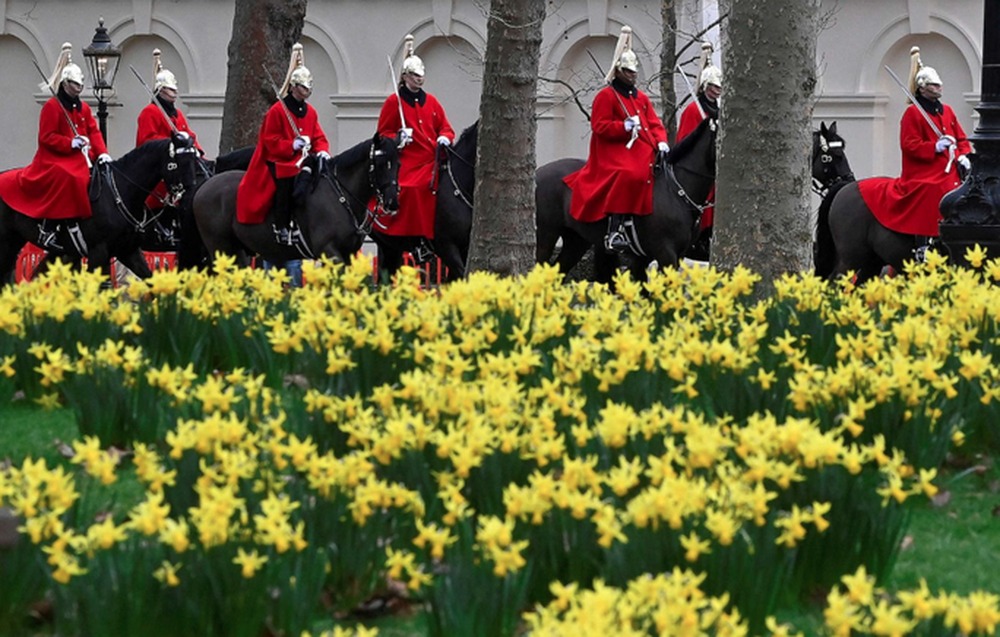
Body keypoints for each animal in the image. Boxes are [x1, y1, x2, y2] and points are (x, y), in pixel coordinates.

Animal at [0, 132, 199, 284]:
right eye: (176, 164)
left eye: (194, 160)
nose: (191, 193)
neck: (119, 193)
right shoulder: (98, 253)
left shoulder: (129, 251)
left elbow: (151, 281)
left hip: (16, 242)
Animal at [193, 132, 400, 266]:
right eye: (381, 163)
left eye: (398, 163)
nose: (392, 203)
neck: (341, 194)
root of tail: (205, 185)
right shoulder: (329, 251)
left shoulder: (348, 253)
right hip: (221, 248)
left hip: (236, 251)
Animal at [536, 116, 716, 278]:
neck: (676, 191)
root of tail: (537, 172)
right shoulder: (666, 253)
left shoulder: (662, 256)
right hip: (546, 236)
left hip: (577, 241)